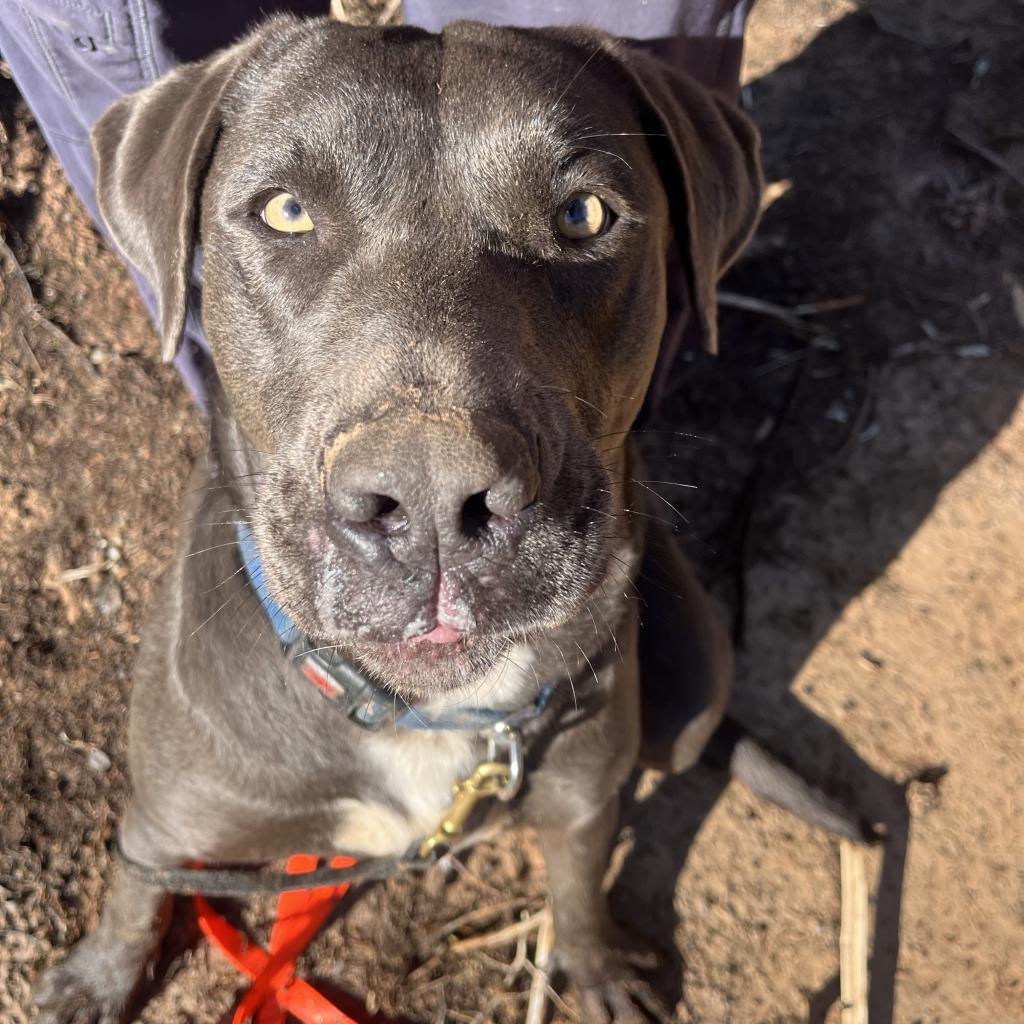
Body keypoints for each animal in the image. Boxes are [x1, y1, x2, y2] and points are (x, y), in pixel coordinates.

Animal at [34, 16, 864, 1024]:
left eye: (584, 215)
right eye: (285, 212)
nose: (430, 498)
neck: (420, 711)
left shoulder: (583, 801)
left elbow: (580, 884)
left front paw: (598, 968)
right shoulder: (167, 817)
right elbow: (133, 886)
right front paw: (98, 978)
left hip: (696, 672)